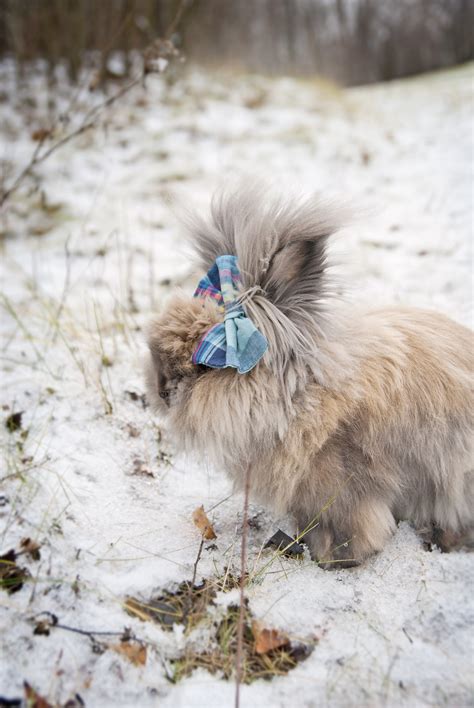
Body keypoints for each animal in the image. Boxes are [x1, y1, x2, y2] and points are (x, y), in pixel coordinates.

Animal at [145, 184, 474, 568]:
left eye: (206, 365)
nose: (162, 391)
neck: (302, 398)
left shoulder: (347, 491)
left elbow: (356, 531)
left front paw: (332, 560)